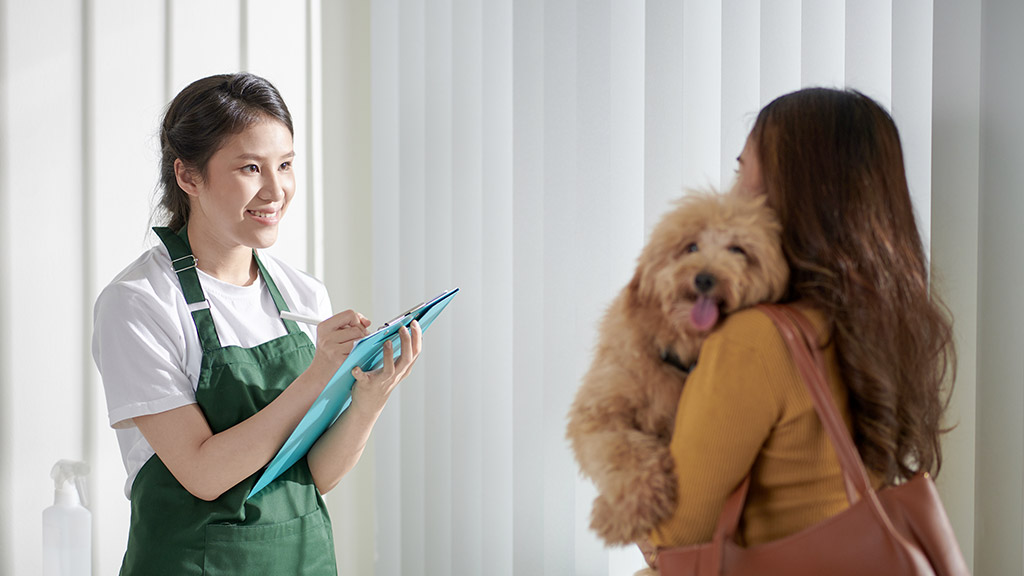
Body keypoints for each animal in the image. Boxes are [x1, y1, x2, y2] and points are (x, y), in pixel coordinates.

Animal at [565, 188, 786, 541]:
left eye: (738, 250)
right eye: (690, 247)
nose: (705, 278)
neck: (677, 352)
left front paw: (614, 514)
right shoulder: (599, 410)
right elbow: (624, 449)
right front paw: (627, 510)